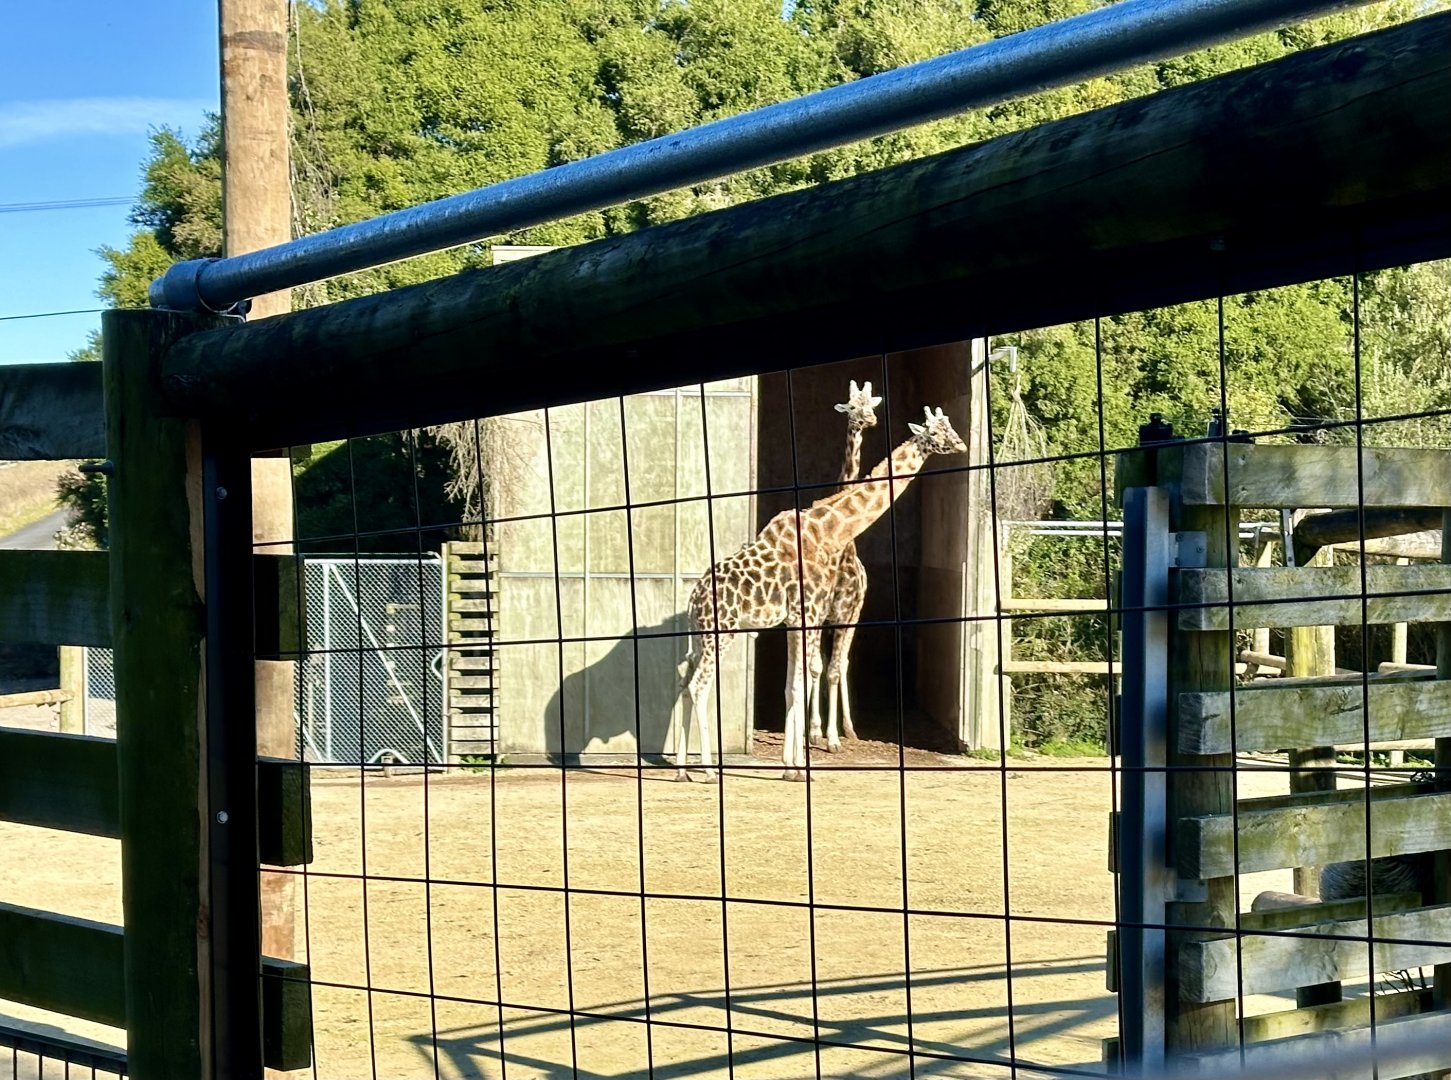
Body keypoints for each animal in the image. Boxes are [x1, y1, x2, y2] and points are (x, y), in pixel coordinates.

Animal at [672, 406, 967, 781]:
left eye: (950, 427)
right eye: (938, 432)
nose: (962, 444)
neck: (829, 531)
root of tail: (693, 600)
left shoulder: (794, 620)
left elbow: (790, 686)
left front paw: (790, 765)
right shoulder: (809, 613)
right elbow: (802, 682)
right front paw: (800, 768)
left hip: (699, 636)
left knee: (684, 684)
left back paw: (682, 770)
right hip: (721, 633)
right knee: (699, 686)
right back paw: (709, 771)